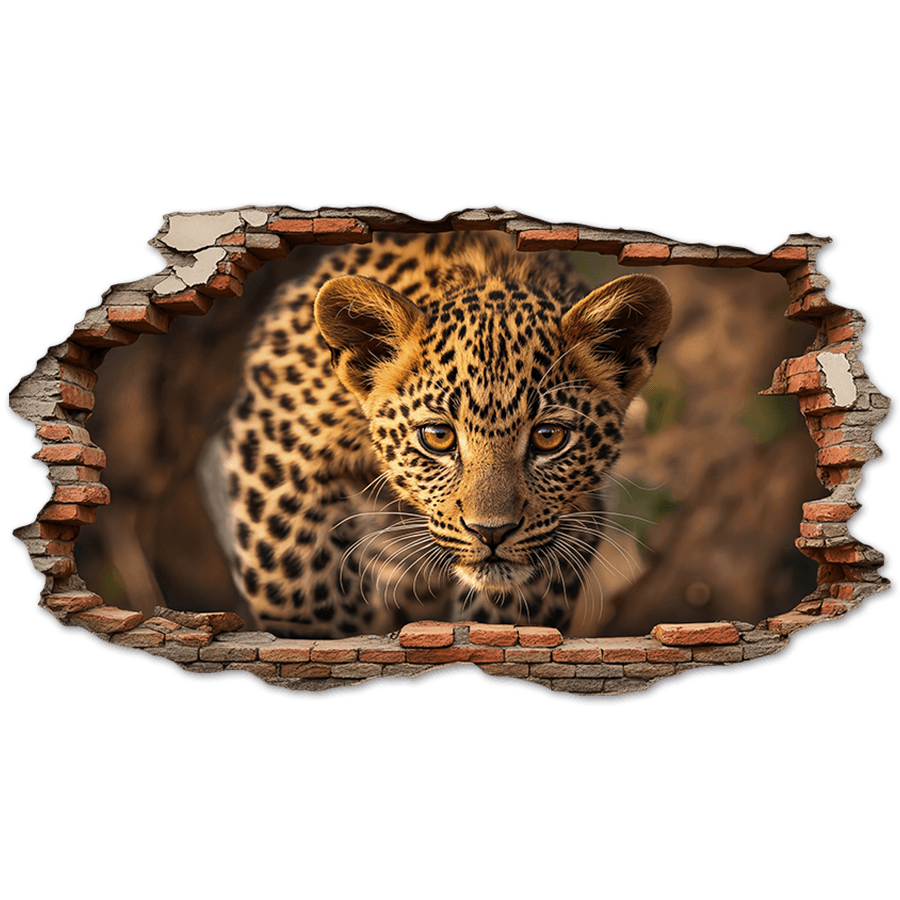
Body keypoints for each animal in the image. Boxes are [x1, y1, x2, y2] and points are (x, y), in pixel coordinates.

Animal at [201, 230, 672, 638]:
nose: (492, 533)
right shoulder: (274, 447)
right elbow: (297, 582)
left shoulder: (576, 515)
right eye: (438, 436)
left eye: (548, 437)